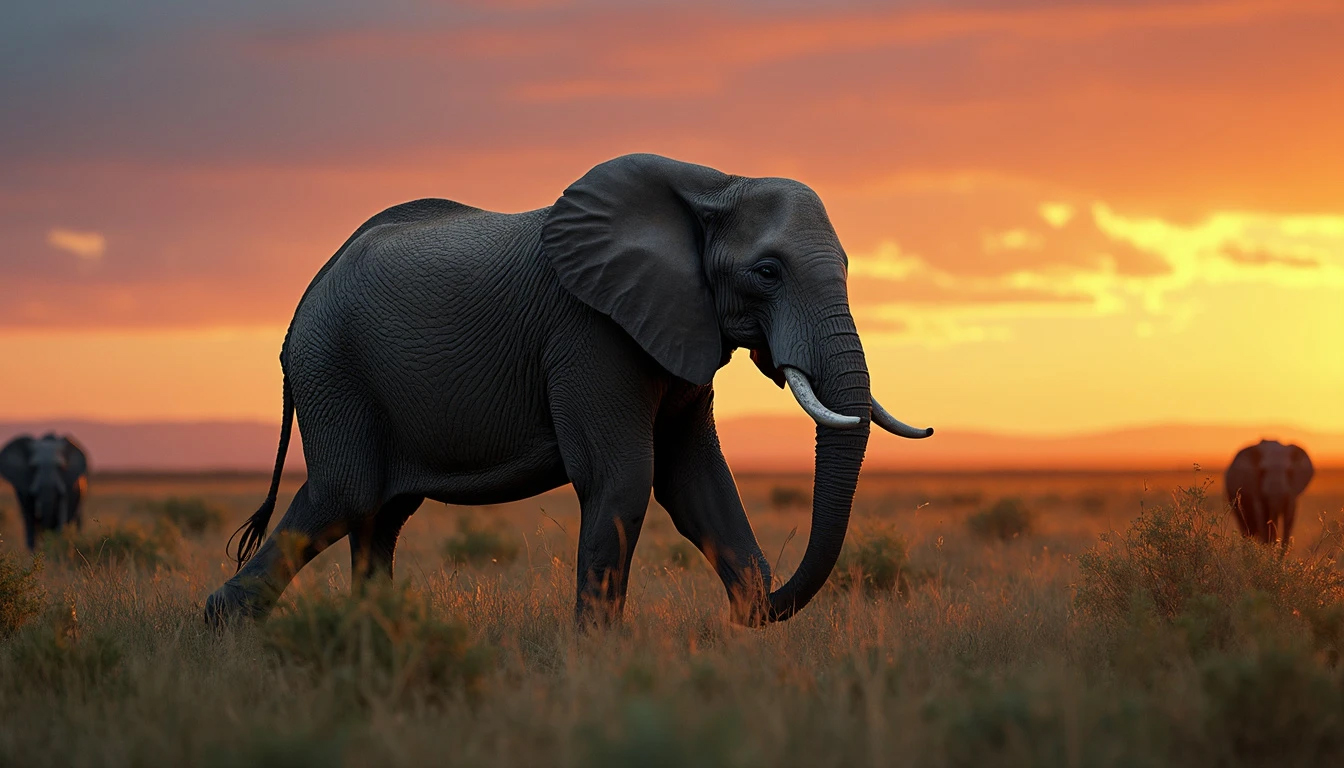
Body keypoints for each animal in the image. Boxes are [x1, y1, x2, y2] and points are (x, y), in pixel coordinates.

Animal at [201, 153, 935, 626]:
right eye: (768, 271)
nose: (761, 605)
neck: (715, 182)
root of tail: (303, 303)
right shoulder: (588, 332)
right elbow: (624, 480)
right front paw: (600, 658)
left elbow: (695, 482)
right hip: (335, 370)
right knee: (345, 495)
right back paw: (220, 627)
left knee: (382, 516)